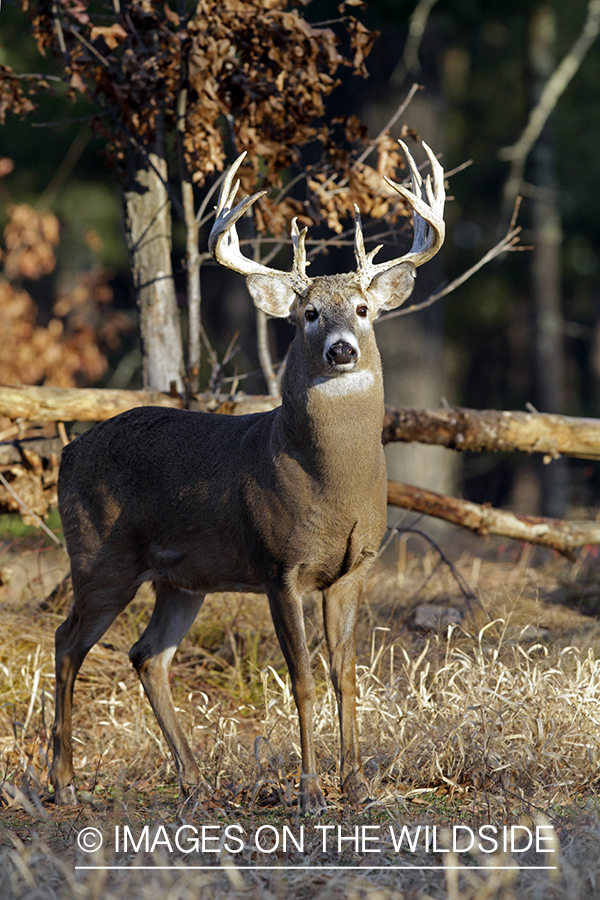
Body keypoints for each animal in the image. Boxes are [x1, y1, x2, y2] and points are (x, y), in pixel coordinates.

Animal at [50, 144, 446, 812]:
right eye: (308, 314)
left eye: (363, 309)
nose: (342, 349)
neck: (330, 485)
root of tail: (68, 452)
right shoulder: (276, 563)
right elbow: (303, 678)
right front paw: (311, 792)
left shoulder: (355, 566)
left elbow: (345, 675)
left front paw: (357, 783)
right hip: (101, 557)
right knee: (67, 642)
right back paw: (65, 782)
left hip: (180, 577)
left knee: (147, 653)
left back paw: (192, 778)